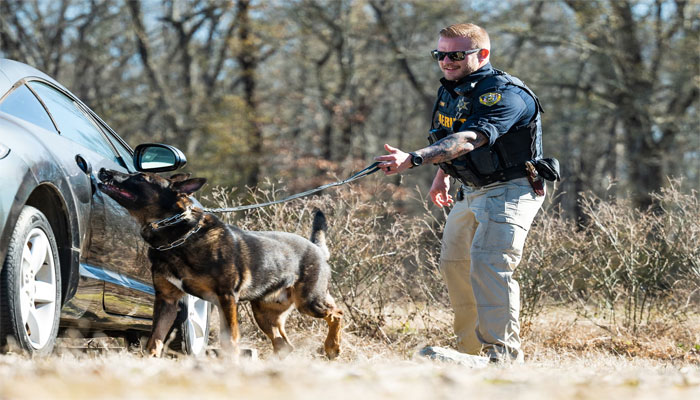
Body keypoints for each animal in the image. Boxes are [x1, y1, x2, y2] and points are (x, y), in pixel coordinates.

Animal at [95, 169, 342, 360]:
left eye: (141, 178)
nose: (104, 171)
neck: (178, 235)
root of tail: (317, 248)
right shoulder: (166, 301)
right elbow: (154, 340)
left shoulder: (226, 298)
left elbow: (229, 340)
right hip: (265, 314)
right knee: (284, 345)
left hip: (309, 301)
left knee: (336, 313)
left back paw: (332, 347)